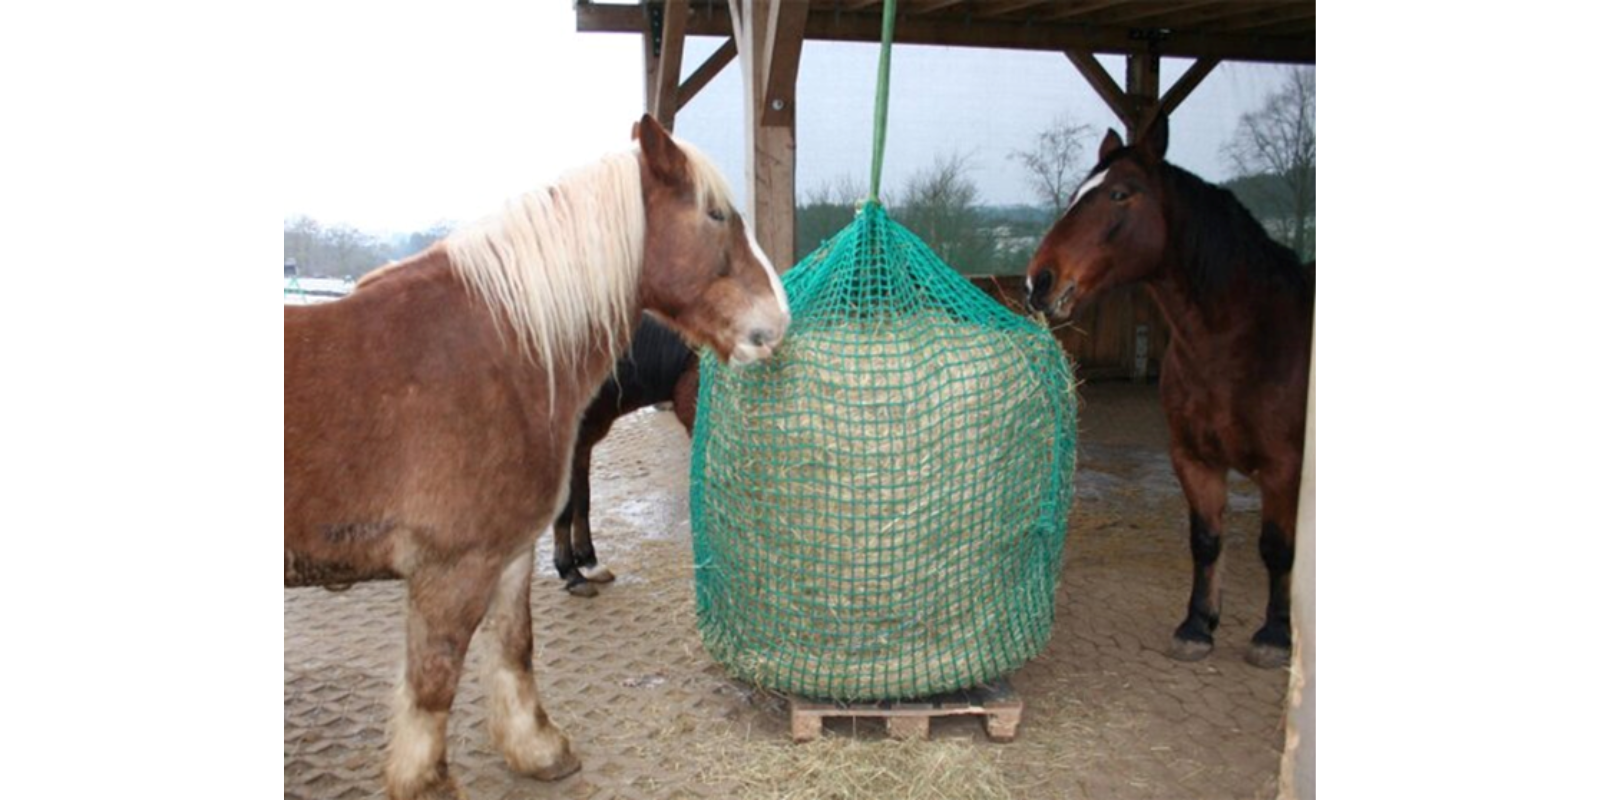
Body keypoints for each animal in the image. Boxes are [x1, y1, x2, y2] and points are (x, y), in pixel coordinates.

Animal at [1024, 116, 1312, 668]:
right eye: (1075, 195)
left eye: (1120, 193)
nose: (1039, 280)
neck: (1241, 338)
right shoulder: (1192, 455)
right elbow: (1205, 539)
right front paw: (1197, 625)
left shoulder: (1285, 466)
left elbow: (1277, 548)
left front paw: (1273, 635)